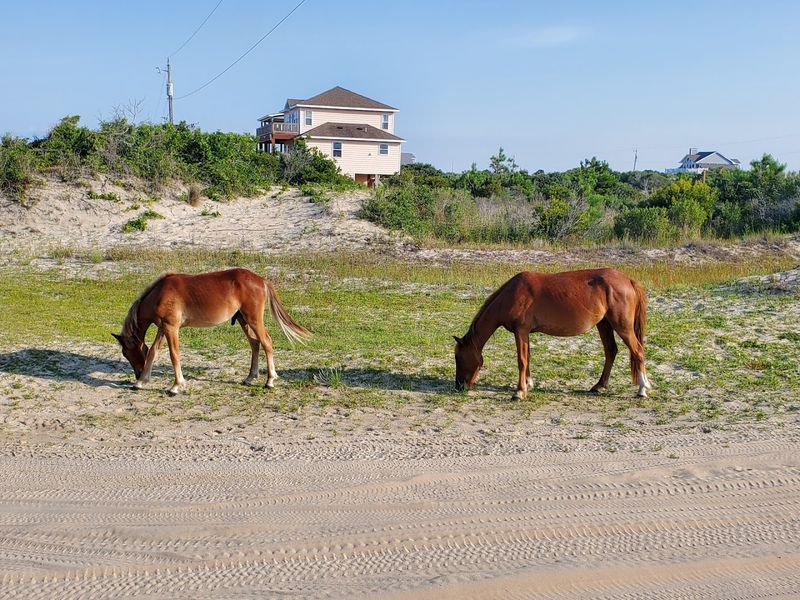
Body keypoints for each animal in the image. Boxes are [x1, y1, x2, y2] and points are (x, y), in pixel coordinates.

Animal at [113, 268, 311, 395]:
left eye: (126, 353)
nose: (137, 373)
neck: (159, 294)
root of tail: (261, 280)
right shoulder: (164, 327)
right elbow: (153, 351)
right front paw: (141, 382)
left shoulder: (171, 328)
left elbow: (174, 355)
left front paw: (176, 386)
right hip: (243, 320)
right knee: (255, 344)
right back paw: (249, 378)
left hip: (253, 319)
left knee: (266, 342)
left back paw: (269, 381)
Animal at [454, 268, 651, 400]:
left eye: (459, 357)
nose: (459, 386)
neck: (511, 294)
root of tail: (628, 280)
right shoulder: (525, 333)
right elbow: (528, 358)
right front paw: (528, 384)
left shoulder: (520, 331)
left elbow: (521, 360)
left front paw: (519, 392)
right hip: (604, 325)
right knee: (611, 351)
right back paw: (598, 386)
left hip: (622, 327)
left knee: (638, 351)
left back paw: (642, 389)